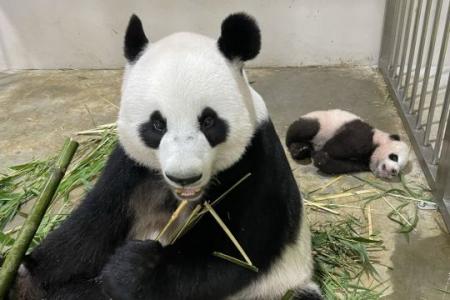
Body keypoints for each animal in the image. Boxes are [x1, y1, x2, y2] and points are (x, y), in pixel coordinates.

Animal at [14, 12, 322, 298]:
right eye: (157, 124)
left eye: (208, 121)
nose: (185, 177)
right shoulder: (130, 168)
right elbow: (92, 227)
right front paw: (24, 274)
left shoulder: (256, 166)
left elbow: (233, 257)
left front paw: (130, 268)